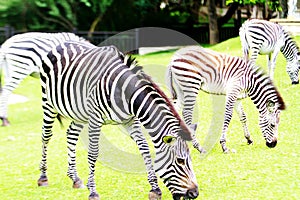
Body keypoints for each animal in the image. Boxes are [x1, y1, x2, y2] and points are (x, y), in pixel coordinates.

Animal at [38, 41, 199, 200]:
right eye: (180, 161)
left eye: (191, 160)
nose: (194, 193)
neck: (125, 92)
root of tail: (62, 43)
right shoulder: (95, 119)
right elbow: (93, 153)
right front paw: (93, 192)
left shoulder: (130, 120)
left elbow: (144, 148)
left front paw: (155, 189)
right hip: (48, 103)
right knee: (46, 136)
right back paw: (43, 177)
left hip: (80, 112)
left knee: (71, 134)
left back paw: (75, 178)